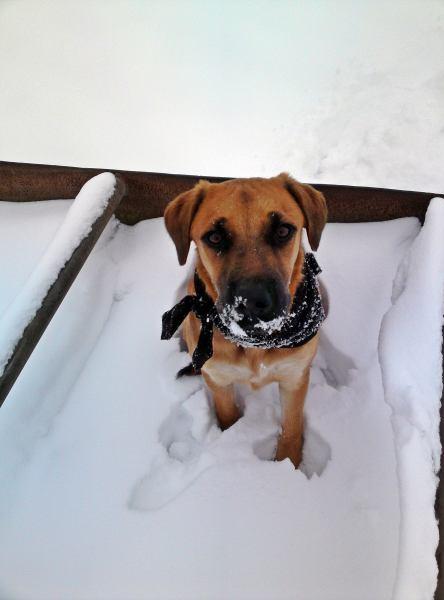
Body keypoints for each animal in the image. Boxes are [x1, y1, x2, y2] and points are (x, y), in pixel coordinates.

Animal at [163, 171, 326, 466]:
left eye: (283, 231)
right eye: (215, 237)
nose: (253, 302)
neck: (254, 343)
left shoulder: (294, 376)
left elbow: (292, 426)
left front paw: (287, 463)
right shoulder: (218, 378)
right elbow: (227, 414)